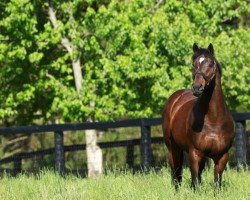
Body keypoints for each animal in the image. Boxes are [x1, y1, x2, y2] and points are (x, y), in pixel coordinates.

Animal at [162, 43, 234, 190]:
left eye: (210, 64)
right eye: (193, 64)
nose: (197, 87)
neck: (214, 119)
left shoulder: (222, 156)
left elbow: (216, 183)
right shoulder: (194, 153)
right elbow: (195, 182)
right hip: (172, 147)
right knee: (176, 173)